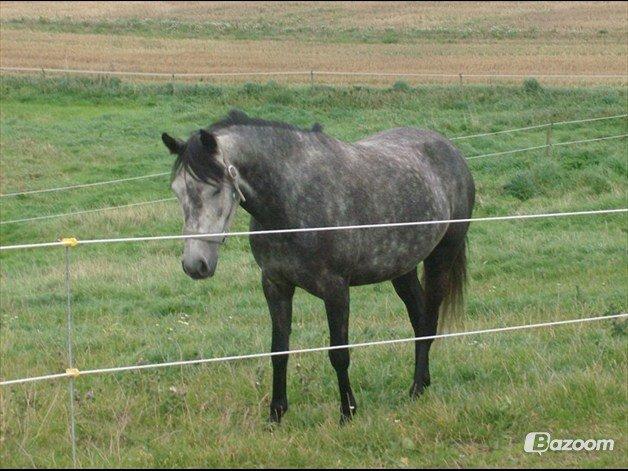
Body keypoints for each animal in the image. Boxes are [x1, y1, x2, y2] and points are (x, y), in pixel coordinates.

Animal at [162, 110, 476, 424]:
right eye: (177, 191)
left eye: (215, 190)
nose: (195, 264)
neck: (292, 199)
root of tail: (450, 149)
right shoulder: (275, 285)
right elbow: (279, 351)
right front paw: (276, 414)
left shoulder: (335, 289)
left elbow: (339, 353)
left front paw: (347, 412)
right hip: (402, 268)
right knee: (419, 318)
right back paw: (421, 384)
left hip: (441, 258)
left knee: (429, 321)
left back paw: (416, 388)